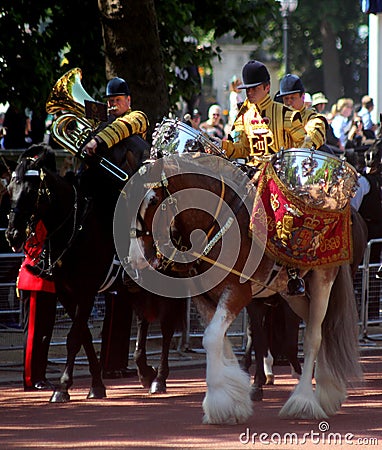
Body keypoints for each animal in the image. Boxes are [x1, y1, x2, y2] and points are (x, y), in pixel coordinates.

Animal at [5, 144, 185, 400]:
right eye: (9, 189)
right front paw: (96, 384)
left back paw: (159, 378)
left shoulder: (86, 291)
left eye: (31, 191)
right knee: (143, 320)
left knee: (167, 325)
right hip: (136, 286)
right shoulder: (66, 293)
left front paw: (62, 387)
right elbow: (84, 335)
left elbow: (74, 337)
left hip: (171, 278)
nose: (13, 235)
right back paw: (144, 371)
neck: (74, 227)